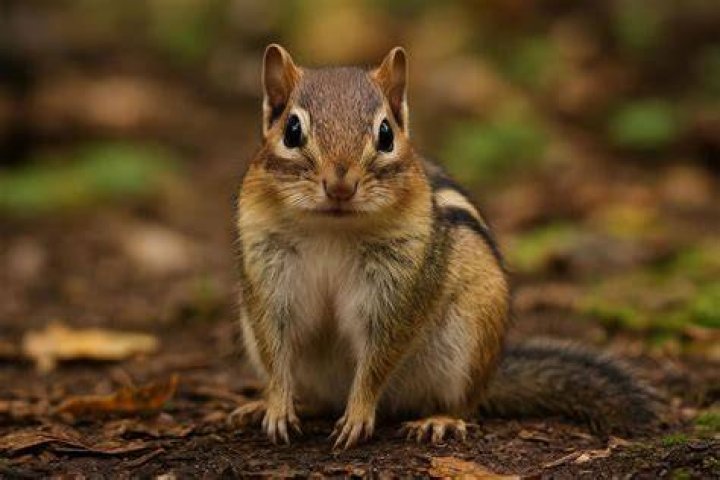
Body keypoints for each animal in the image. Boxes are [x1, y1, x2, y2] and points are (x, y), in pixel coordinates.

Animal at [231, 44, 661, 449]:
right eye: (291, 131)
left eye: (386, 134)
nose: (340, 185)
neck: (331, 230)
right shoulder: (268, 271)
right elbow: (275, 348)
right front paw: (277, 407)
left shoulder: (401, 285)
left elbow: (379, 355)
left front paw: (358, 415)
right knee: (315, 395)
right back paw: (271, 406)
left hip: (469, 342)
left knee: (464, 404)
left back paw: (439, 420)